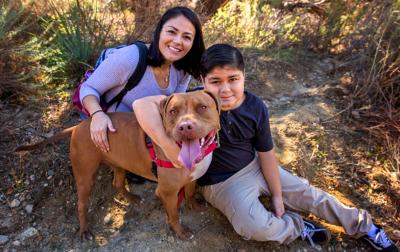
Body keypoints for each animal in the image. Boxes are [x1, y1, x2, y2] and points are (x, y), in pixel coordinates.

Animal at [15, 90, 220, 240]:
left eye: (202, 107)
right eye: (173, 111)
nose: (184, 127)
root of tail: (78, 127)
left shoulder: (193, 178)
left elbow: (190, 192)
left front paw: (195, 205)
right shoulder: (167, 192)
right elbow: (174, 214)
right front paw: (180, 231)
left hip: (119, 164)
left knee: (117, 183)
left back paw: (131, 198)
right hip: (85, 176)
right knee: (81, 204)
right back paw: (84, 230)